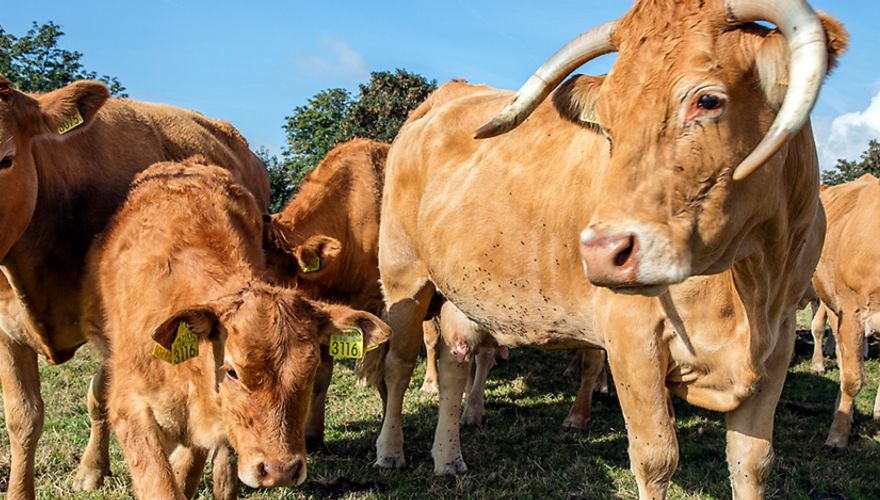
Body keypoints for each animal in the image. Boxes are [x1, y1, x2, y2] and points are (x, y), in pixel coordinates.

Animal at [366, 1, 844, 498]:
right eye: (608, 124)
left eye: (708, 100)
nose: (600, 252)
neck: (752, 279)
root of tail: (444, 98)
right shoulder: (633, 337)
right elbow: (656, 458)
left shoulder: (778, 344)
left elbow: (751, 462)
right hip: (404, 277)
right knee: (399, 364)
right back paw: (390, 451)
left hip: (459, 295)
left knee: (454, 364)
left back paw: (448, 458)